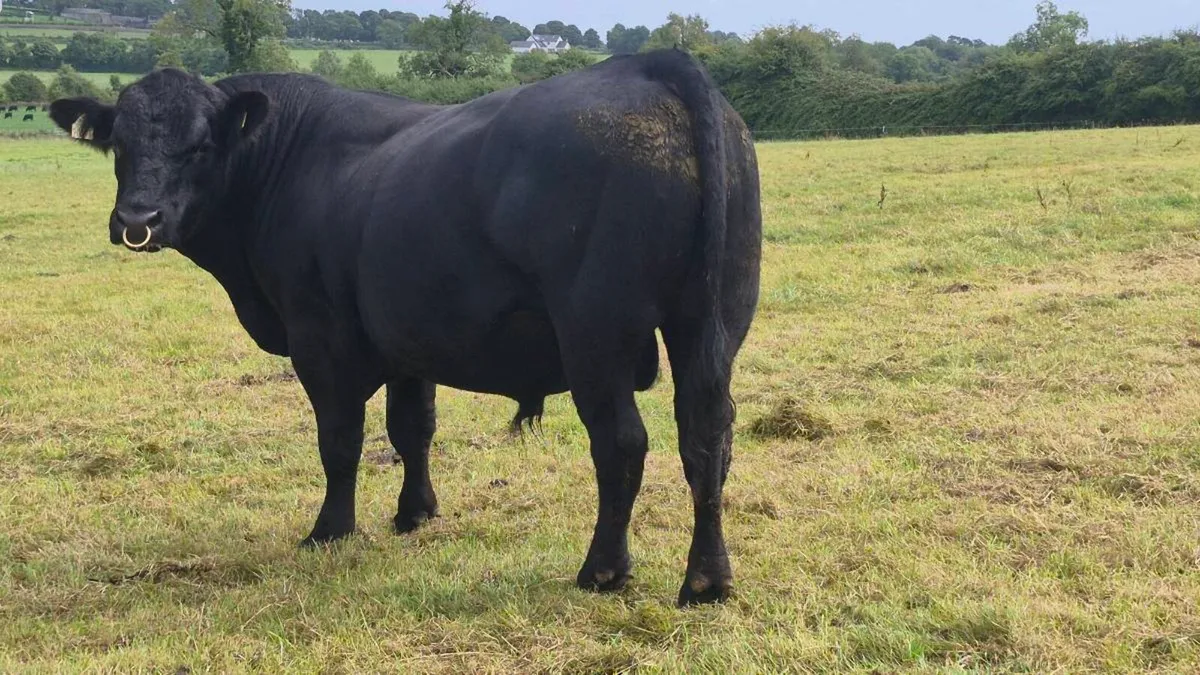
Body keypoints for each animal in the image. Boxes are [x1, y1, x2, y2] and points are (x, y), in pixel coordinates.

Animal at [48, 50, 762, 606]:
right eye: (119, 144)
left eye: (200, 145)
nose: (137, 220)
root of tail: (651, 66)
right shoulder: (407, 337)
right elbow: (412, 428)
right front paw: (415, 513)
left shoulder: (320, 338)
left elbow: (340, 442)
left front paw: (330, 531)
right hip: (713, 323)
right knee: (707, 439)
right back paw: (707, 581)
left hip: (596, 334)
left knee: (622, 444)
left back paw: (604, 570)